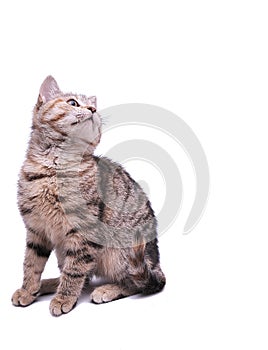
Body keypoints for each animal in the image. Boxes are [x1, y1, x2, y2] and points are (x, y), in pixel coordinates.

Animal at [12, 76, 165, 318]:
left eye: (95, 108)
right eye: (73, 103)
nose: (92, 109)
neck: (54, 170)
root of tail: (157, 264)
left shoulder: (84, 232)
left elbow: (74, 271)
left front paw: (63, 298)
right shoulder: (36, 230)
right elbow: (31, 264)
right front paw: (28, 290)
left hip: (121, 253)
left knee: (136, 283)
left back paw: (106, 289)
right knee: (83, 277)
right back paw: (48, 284)